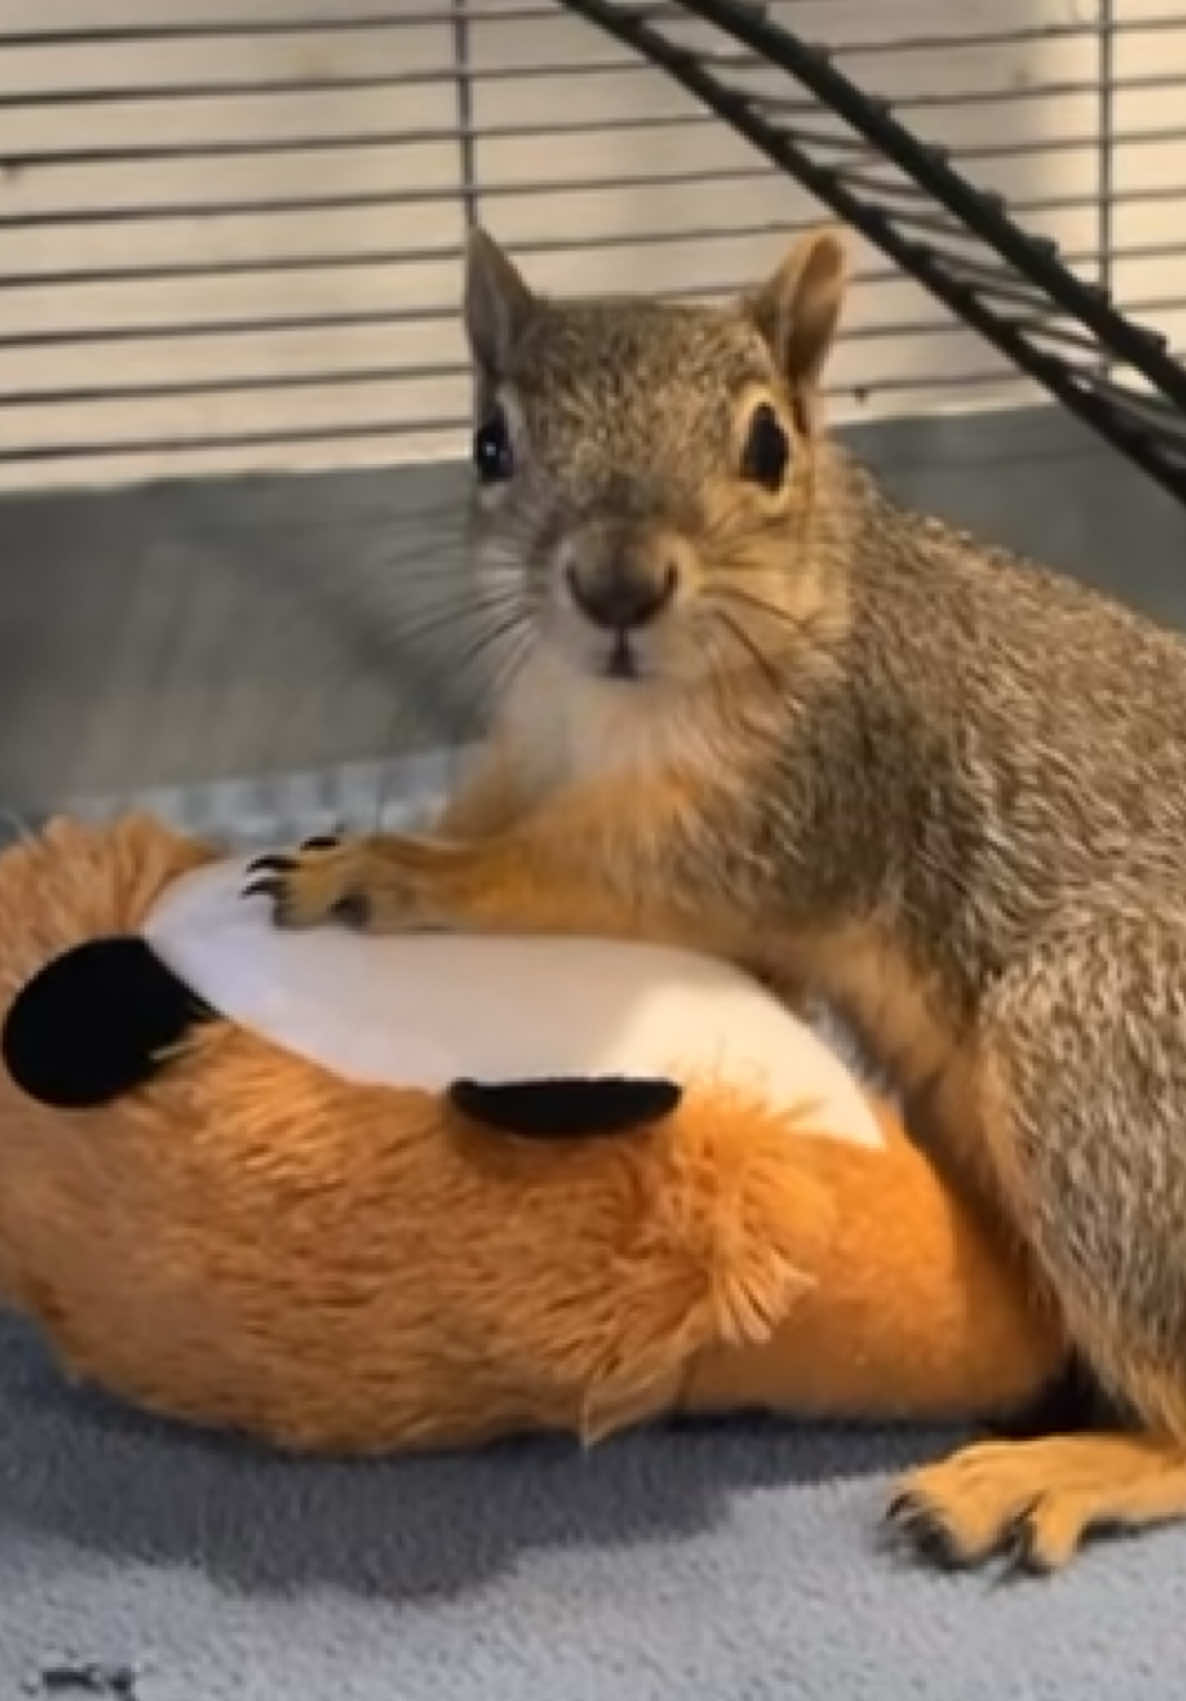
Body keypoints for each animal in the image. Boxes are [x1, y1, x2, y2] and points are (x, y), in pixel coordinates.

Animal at [246, 225, 1186, 1573]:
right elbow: (494, 813)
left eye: (767, 445)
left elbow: (571, 877)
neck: (612, 712)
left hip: (1098, 1052)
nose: (617, 586)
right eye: (490, 443)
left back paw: (1048, 1472)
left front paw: (390, 869)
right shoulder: (530, 749)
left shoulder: (792, 803)